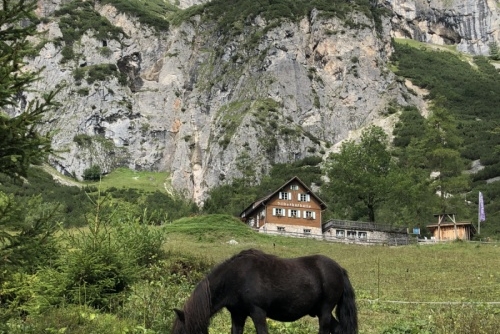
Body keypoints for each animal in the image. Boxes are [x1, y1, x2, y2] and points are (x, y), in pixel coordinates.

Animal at [173, 249, 360, 332]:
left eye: (181, 331)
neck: (236, 277)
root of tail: (339, 269)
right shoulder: (238, 315)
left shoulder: (258, 313)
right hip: (321, 312)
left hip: (325, 311)